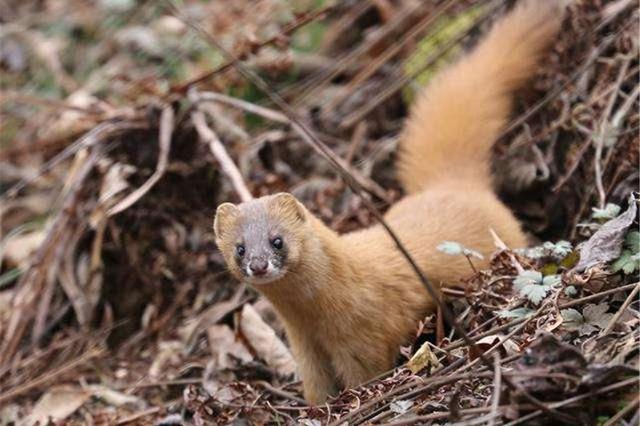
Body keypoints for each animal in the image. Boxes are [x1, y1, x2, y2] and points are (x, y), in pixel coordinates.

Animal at [212, 0, 564, 404]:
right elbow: (316, 388)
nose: (257, 265)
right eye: (239, 248)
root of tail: (452, 182)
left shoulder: (362, 340)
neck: (313, 319)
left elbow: (365, 376)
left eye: (277, 240)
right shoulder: (305, 349)